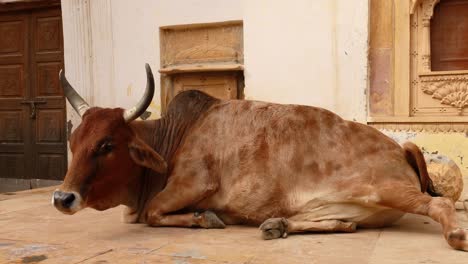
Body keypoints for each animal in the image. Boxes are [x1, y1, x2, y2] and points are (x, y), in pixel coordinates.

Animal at [53, 64, 466, 252]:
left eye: (107, 144)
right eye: (74, 140)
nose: (62, 197)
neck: (175, 135)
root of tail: (400, 147)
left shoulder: (193, 183)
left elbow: (155, 212)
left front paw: (206, 219)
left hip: (387, 190)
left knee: (441, 204)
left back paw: (456, 234)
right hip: (343, 206)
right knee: (345, 225)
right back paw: (276, 226)